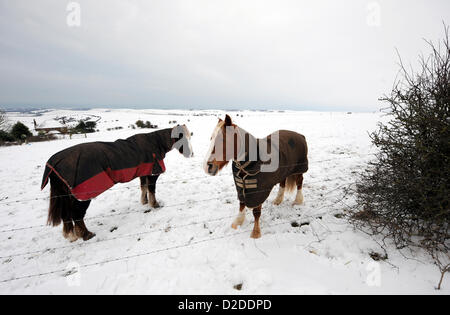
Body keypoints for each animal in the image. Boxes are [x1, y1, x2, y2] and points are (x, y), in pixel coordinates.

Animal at [40, 125, 192, 242]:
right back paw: (87, 235)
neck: (155, 143)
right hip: (83, 195)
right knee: (77, 215)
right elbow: (151, 189)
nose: (190, 154)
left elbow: (143, 188)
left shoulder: (143, 172)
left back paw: (71, 236)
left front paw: (144, 202)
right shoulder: (152, 174)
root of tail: (55, 164)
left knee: (66, 215)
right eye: (182, 139)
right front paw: (154, 204)